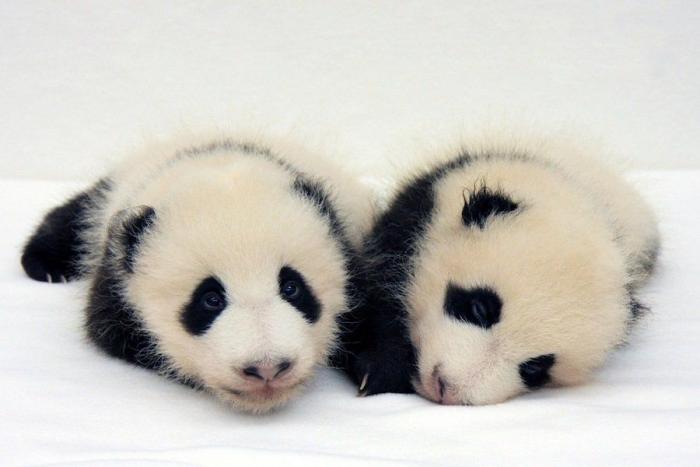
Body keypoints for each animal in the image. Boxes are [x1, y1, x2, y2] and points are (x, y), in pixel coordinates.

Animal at [342, 135, 659, 405]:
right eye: (480, 308)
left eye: (534, 368)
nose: (446, 387)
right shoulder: (422, 207)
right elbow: (378, 287)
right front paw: (380, 370)